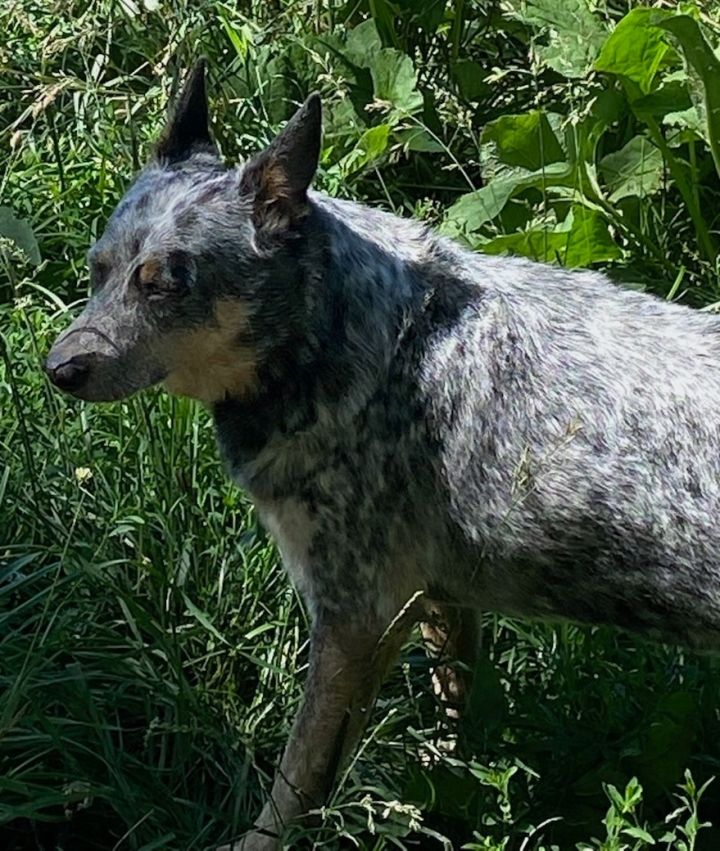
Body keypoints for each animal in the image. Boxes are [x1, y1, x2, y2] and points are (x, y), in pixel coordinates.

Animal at [46, 63, 720, 848]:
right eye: (99, 271)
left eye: (163, 284)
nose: (58, 367)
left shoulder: (354, 616)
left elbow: (294, 783)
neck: (356, 339)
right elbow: (454, 725)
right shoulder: (439, 601)